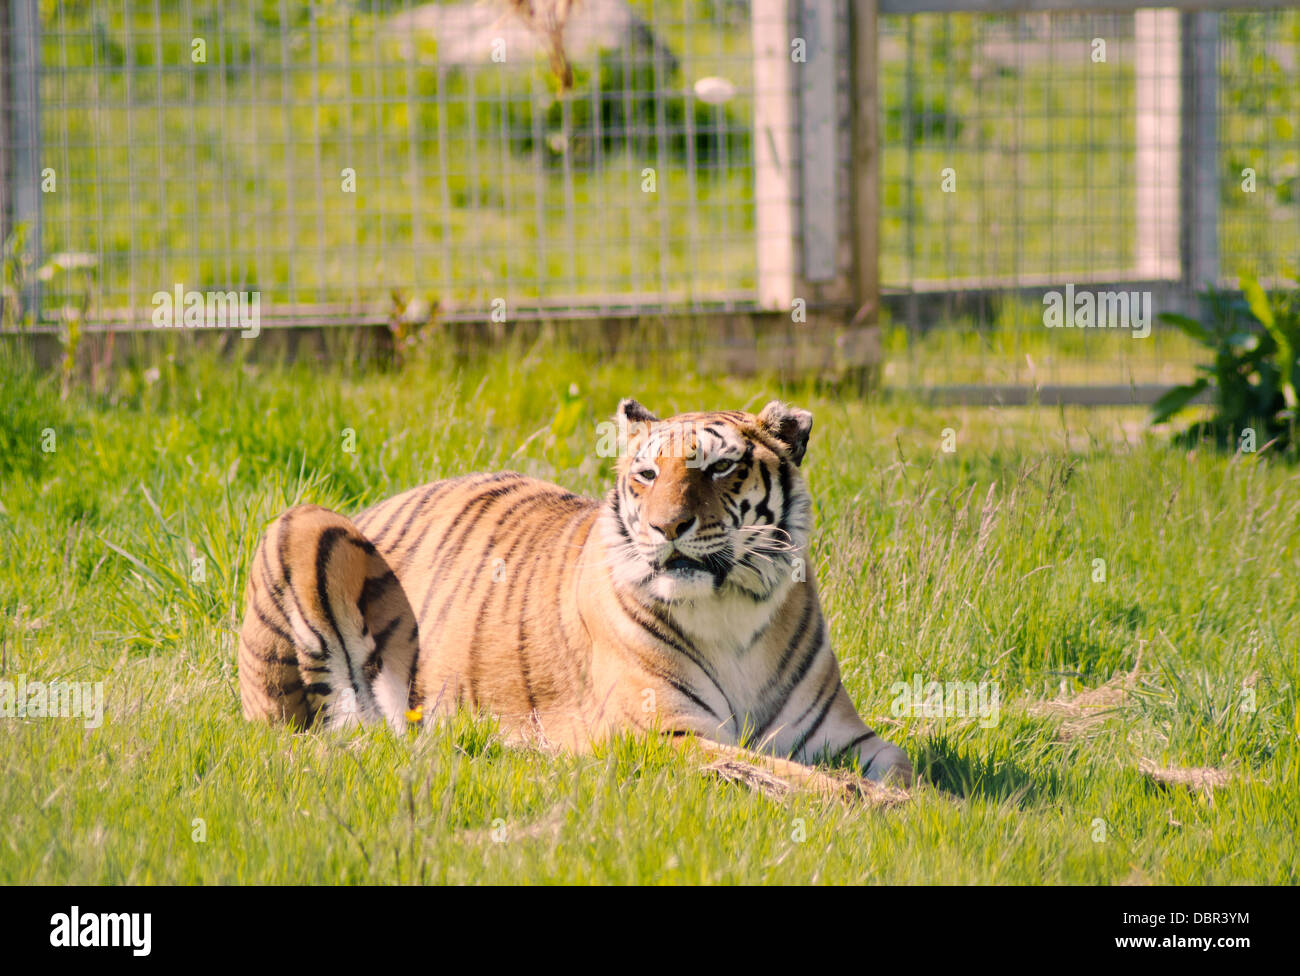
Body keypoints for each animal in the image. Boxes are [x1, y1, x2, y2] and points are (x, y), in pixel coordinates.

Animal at [239, 397, 920, 784]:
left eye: (721, 466)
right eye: (646, 474)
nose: (666, 527)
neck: (729, 611)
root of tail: (378, 503)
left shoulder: (840, 735)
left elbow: (904, 766)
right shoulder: (664, 734)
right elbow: (805, 781)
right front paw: (882, 809)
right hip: (302, 524)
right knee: (317, 732)